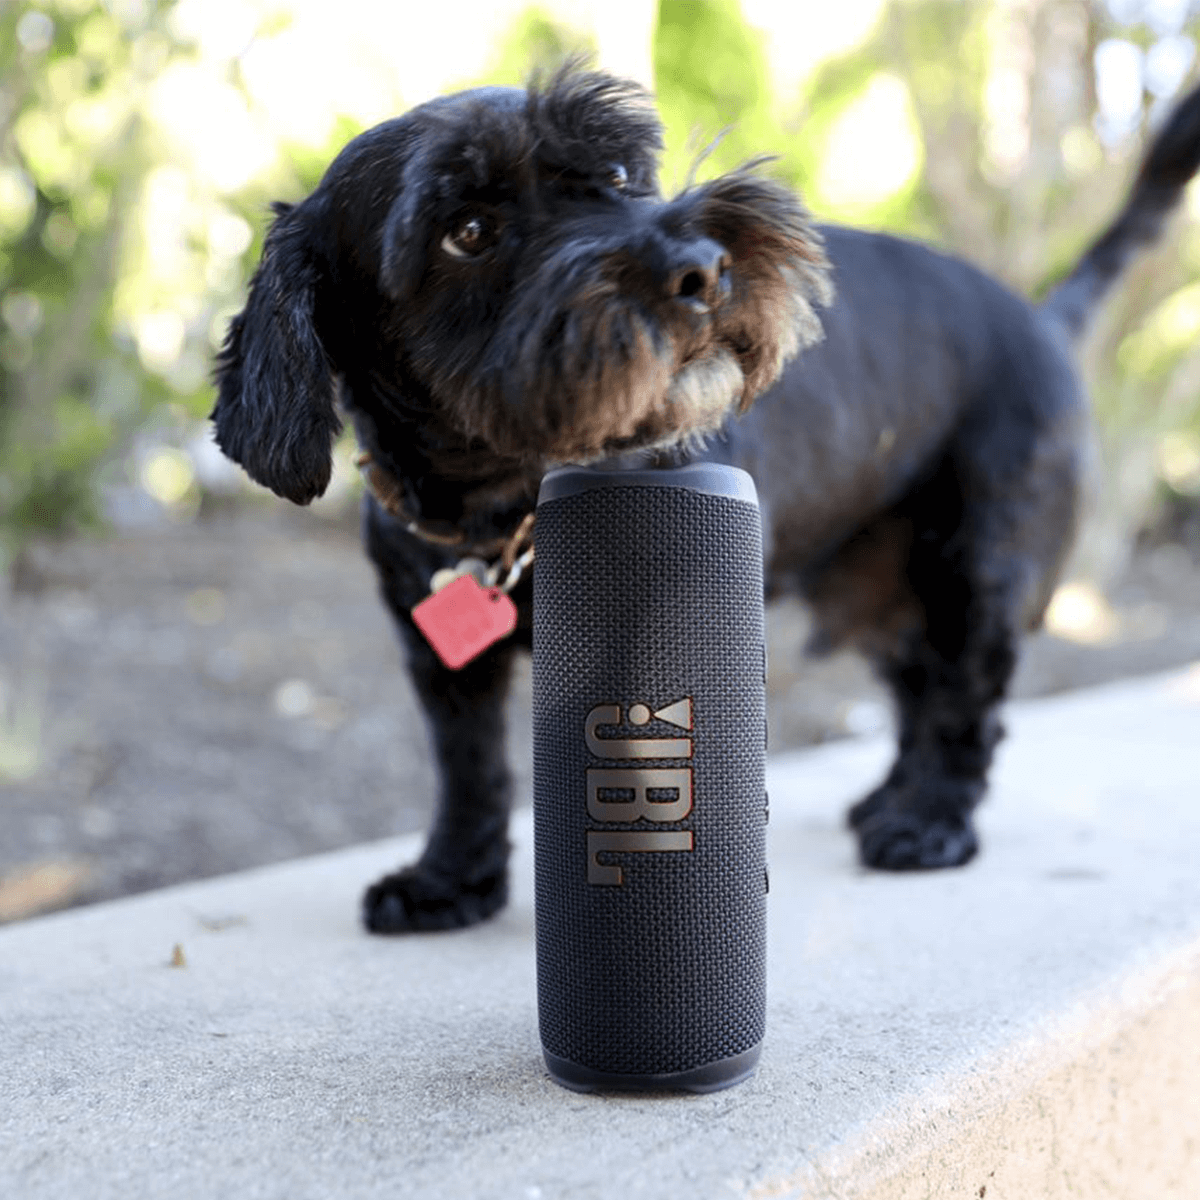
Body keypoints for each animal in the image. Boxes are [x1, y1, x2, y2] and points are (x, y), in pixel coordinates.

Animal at [213, 63, 1200, 926]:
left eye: (617, 174)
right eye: (467, 231)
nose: (700, 263)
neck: (506, 504)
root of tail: (1038, 318)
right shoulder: (441, 659)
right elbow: (469, 771)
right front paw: (449, 881)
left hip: (979, 568)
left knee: (967, 704)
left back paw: (928, 821)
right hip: (887, 591)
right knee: (924, 687)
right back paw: (892, 797)